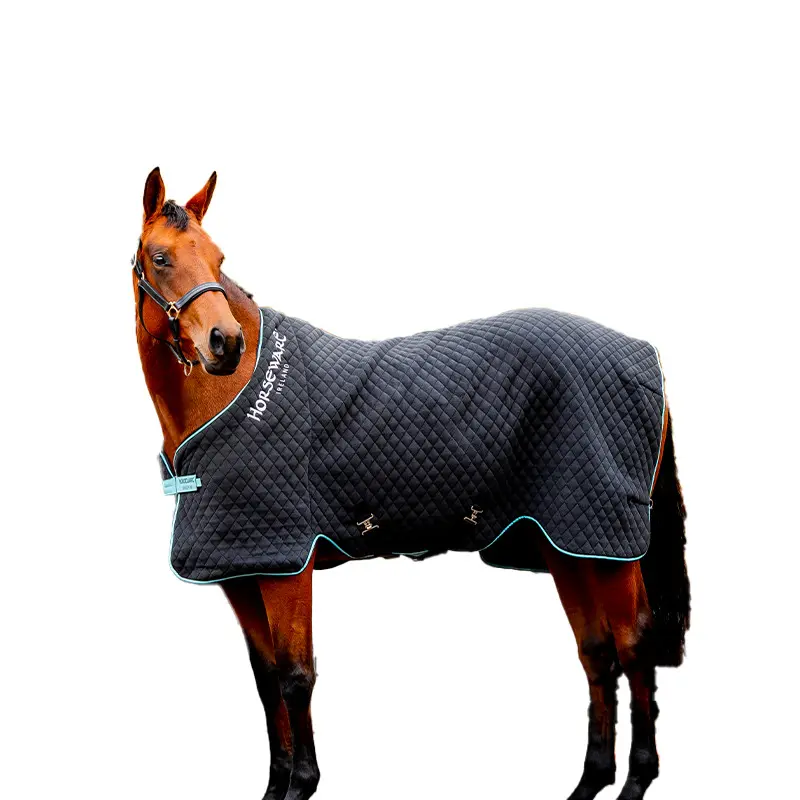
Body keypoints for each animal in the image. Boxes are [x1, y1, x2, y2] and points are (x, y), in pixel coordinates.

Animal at [133, 167, 690, 800]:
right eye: (160, 258)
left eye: (219, 256)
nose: (225, 344)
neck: (232, 400)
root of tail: (643, 356)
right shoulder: (242, 573)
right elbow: (266, 680)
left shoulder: (286, 569)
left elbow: (296, 676)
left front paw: (303, 783)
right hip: (568, 544)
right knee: (597, 653)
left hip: (608, 549)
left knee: (634, 645)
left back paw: (637, 779)